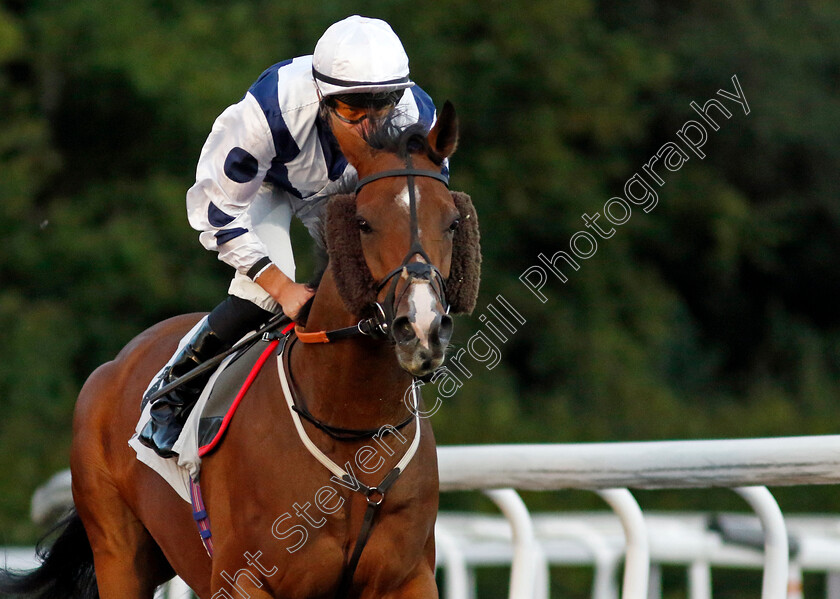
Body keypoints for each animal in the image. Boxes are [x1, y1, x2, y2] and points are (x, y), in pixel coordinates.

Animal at [0, 99, 482, 599]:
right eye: (364, 223)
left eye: (452, 222)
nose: (421, 327)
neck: (352, 428)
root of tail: (111, 368)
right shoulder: (242, 577)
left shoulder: (408, 577)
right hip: (118, 555)